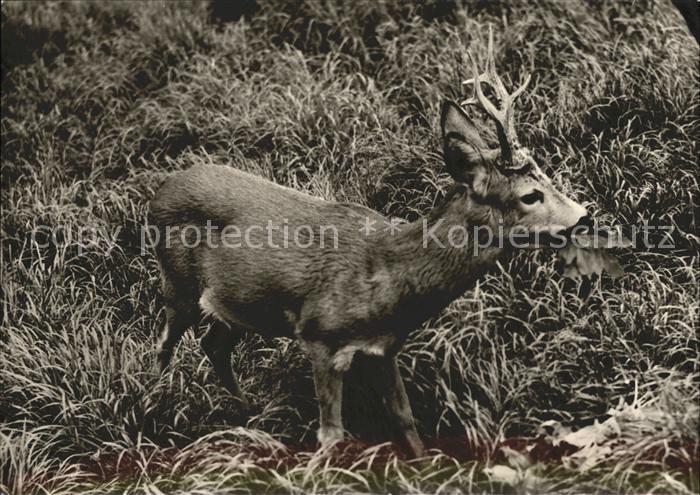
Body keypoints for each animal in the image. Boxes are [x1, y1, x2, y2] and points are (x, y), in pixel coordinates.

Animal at [148, 30, 589, 458]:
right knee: (164, 343)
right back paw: (153, 412)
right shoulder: (319, 337)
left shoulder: (384, 348)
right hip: (177, 282)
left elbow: (405, 419)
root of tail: (161, 189)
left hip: (238, 304)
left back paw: (250, 416)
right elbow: (331, 435)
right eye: (530, 195)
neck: (387, 276)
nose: (584, 216)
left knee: (214, 345)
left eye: (548, 175)